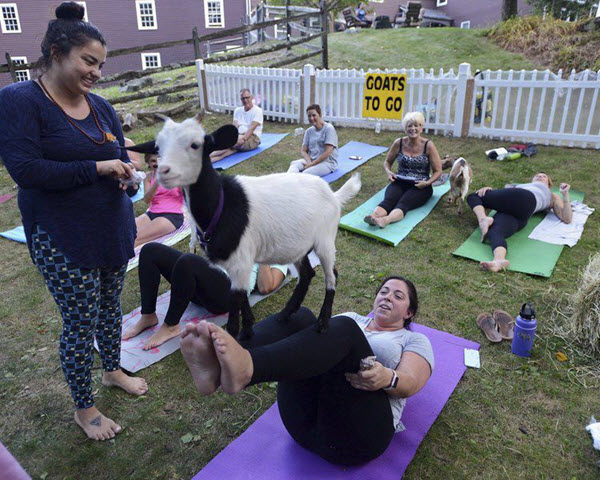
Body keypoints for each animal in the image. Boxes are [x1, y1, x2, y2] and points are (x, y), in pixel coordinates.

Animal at [127, 112, 360, 338]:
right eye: (157, 147)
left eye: (195, 144)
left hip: (325, 239)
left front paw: (236, 339)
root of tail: (334, 195)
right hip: (298, 246)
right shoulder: (236, 265)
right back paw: (285, 314)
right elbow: (242, 299)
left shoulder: (241, 260)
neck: (221, 206)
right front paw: (249, 329)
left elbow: (233, 317)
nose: (163, 171)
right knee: (307, 275)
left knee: (332, 276)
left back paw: (322, 322)